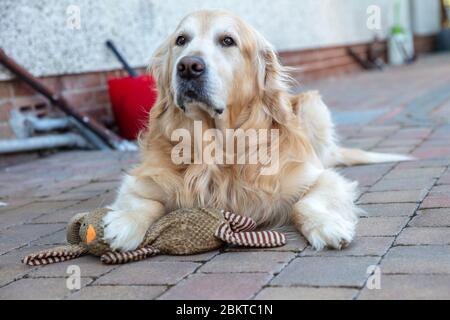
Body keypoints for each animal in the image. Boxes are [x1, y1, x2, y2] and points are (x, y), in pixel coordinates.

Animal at [100, 9, 410, 250]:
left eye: (227, 41)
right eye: (181, 40)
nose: (188, 66)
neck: (219, 146)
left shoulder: (320, 177)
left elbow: (303, 203)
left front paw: (327, 225)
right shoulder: (141, 180)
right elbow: (142, 202)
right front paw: (124, 224)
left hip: (312, 105)